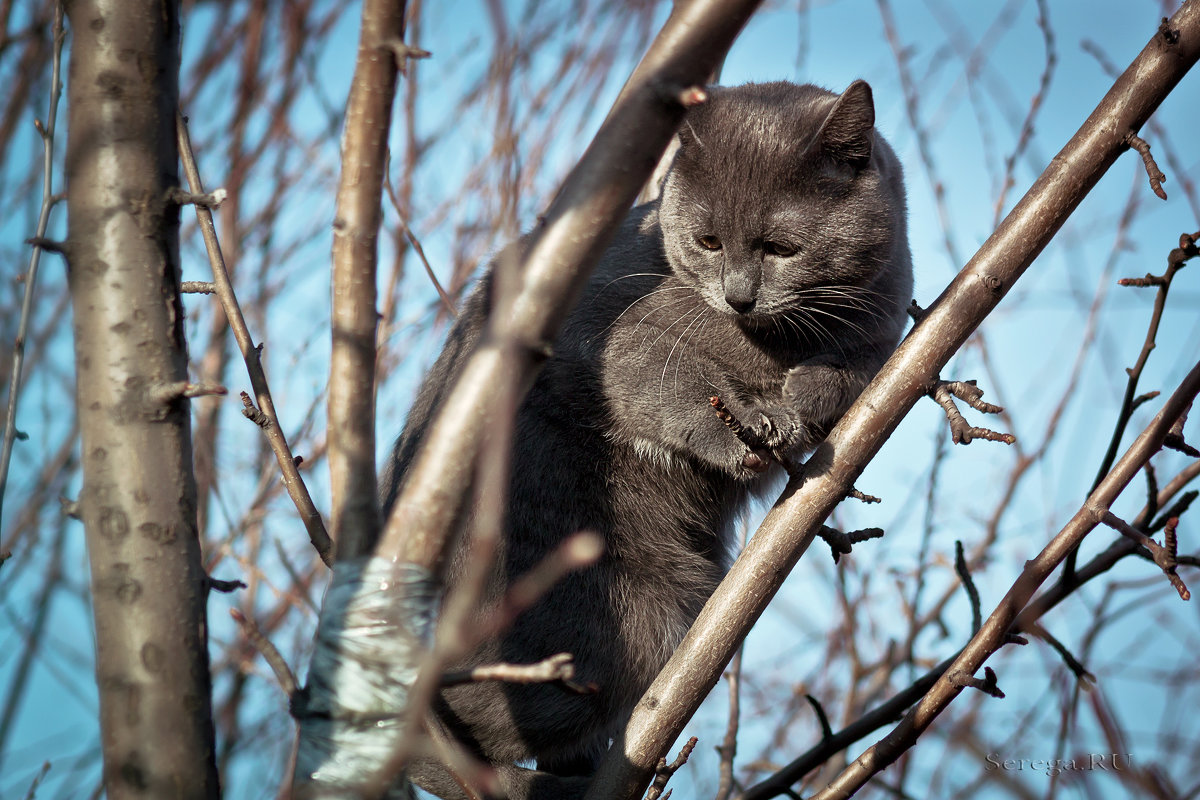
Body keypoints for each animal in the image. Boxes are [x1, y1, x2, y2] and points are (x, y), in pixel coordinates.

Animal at [381, 81, 907, 800]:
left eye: (780, 248)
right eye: (707, 240)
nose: (738, 297)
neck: (776, 342)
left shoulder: (886, 330)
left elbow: (853, 370)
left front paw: (804, 397)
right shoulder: (615, 337)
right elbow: (671, 389)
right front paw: (749, 429)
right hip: (605, 628)